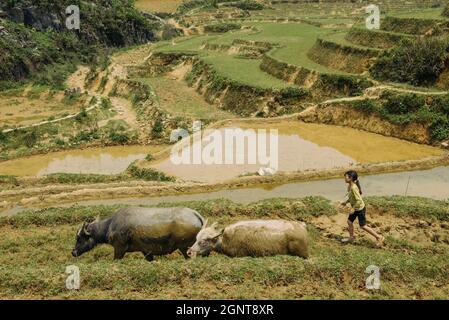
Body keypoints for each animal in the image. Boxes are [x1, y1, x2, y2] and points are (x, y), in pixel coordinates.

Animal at [72, 206, 205, 262]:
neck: (111, 225)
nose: (73, 252)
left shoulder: (119, 249)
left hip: (185, 248)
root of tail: (195, 215)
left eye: (79, 238)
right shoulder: (146, 252)